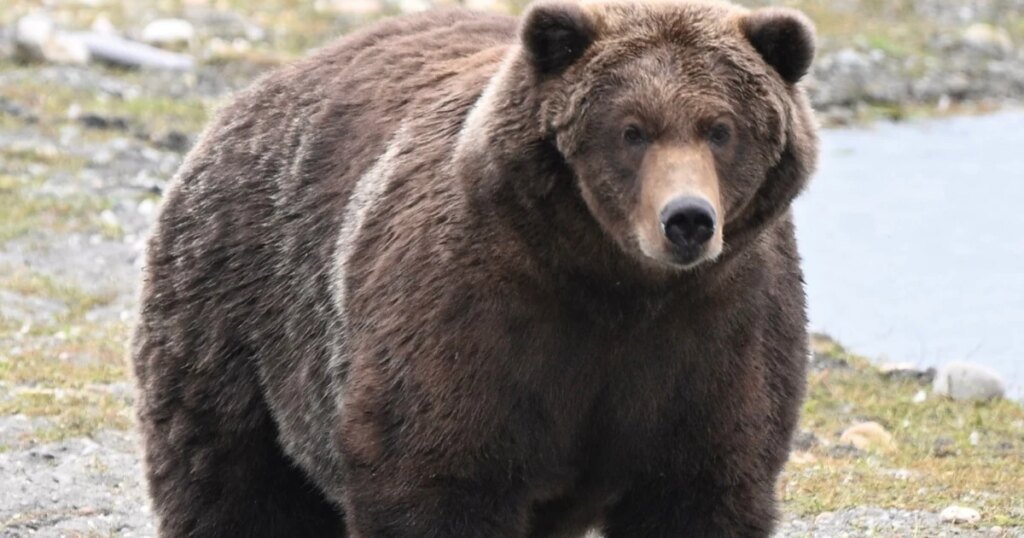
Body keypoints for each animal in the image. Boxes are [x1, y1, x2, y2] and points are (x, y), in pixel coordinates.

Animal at [131, 0, 818, 536]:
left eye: (720, 128)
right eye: (632, 130)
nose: (687, 219)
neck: (615, 285)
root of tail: (243, 102)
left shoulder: (717, 333)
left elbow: (701, 486)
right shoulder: (475, 311)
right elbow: (435, 473)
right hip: (240, 319)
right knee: (233, 483)